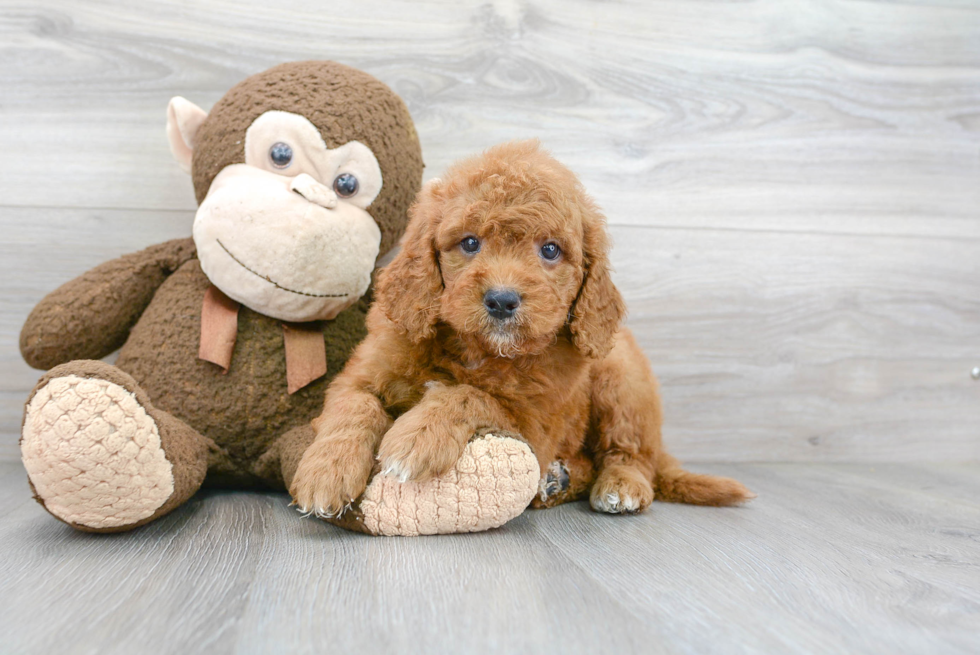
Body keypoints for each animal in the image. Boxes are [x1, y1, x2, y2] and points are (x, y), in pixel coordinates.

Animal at [288, 141, 756, 520]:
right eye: (470, 243)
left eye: (550, 250)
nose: (501, 300)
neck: (476, 349)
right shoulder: (362, 373)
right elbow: (355, 407)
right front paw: (325, 472)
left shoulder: (533, 423)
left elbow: (469, 395)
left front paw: (417, 437)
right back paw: (556, 481)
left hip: (620, 377)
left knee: (631, 452)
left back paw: (618, 486)